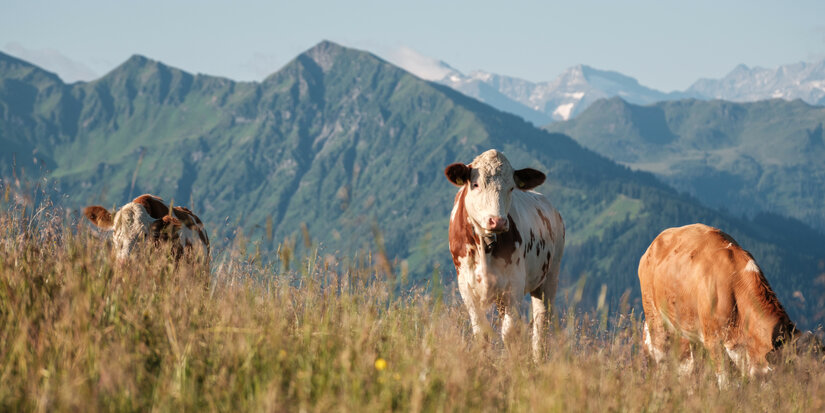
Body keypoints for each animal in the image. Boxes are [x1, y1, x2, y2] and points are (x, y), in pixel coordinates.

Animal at [445, 149, 564, 360]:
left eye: (511, 188)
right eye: (476, 184)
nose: (498, 221)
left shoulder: (514, 284)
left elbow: (510, 332)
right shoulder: (466, 286)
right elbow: (481, 332)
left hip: (549, 278)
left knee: (541, 324)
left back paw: (537, 360)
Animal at [639, 223, 821, 387]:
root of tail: (655, 242)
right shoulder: (713, 341)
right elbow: (725, 382)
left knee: (689, 366)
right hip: (654, 317)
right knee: (661, 358)